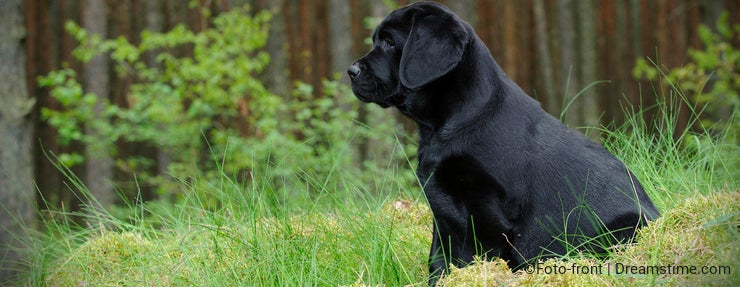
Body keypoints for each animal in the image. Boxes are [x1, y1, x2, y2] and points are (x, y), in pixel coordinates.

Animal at [346, 1, 660, 286]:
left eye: (389, 42)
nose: (351, 71)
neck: (446, 125)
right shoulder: (443, 218)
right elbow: (438, 260)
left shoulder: (488, 213)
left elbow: (480, 258)